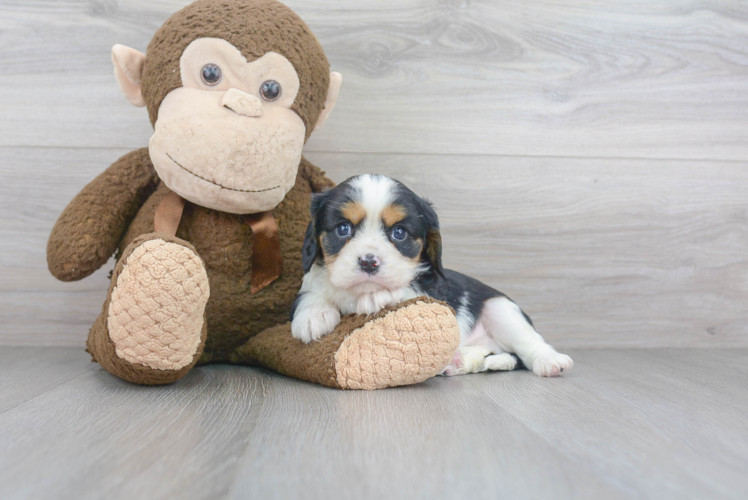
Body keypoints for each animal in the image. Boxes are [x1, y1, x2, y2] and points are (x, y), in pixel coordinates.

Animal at [290, 174, 572, 376]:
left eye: (399, 233)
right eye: (343, 228)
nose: (369, 262)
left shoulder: (432, 290)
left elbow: (407, 288)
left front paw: (377, 296)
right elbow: (313, 292)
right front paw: (313, 316)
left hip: (501, 309)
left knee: (529, 343)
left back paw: (550, 360)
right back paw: (458, 361)